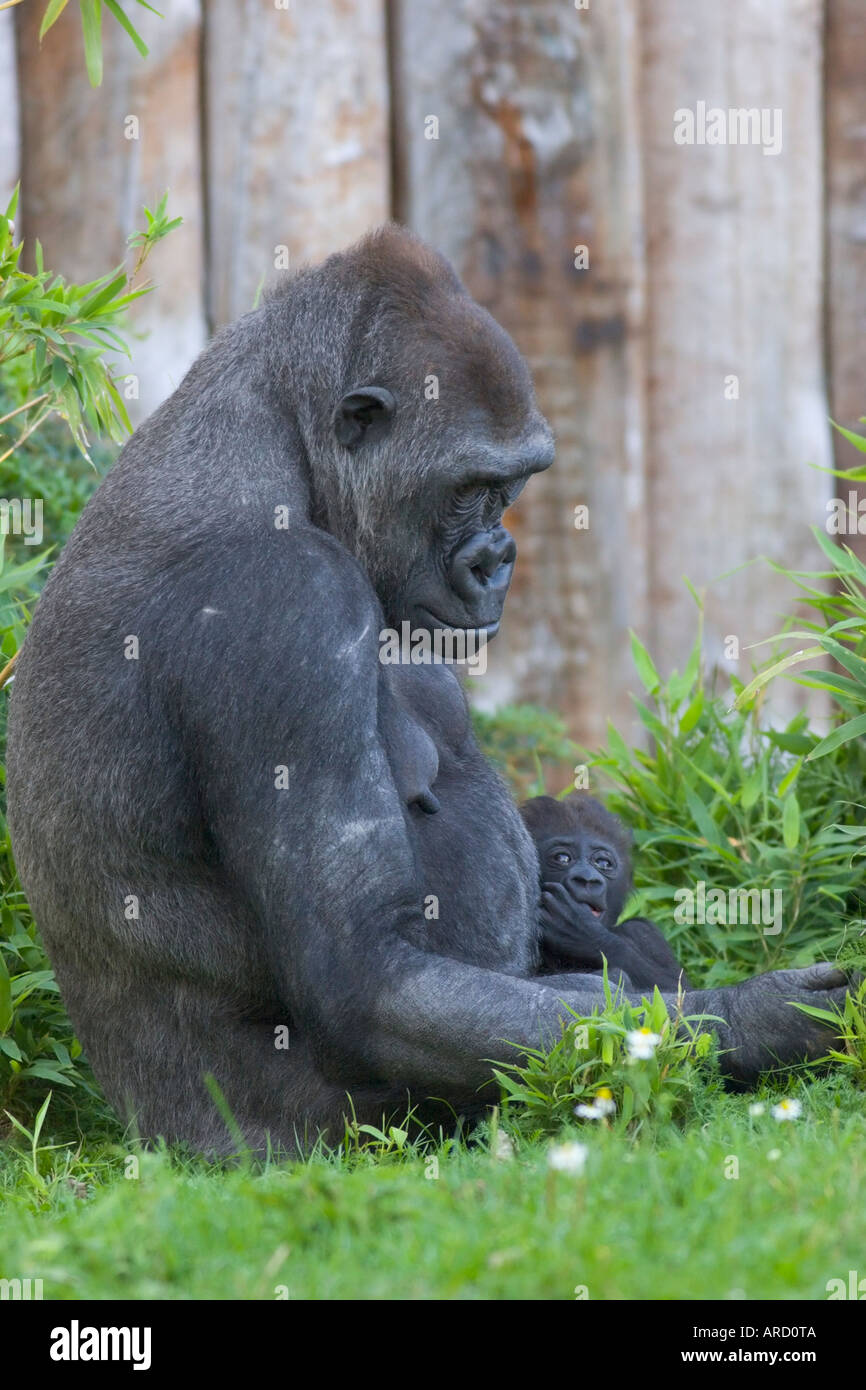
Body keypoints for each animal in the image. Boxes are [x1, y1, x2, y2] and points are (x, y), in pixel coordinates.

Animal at [517, 795, 695, 989]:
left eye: (603, 863)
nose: (587, 879)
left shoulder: (646, 932)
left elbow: (677, 989)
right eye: (562, 858)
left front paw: (586, 932)